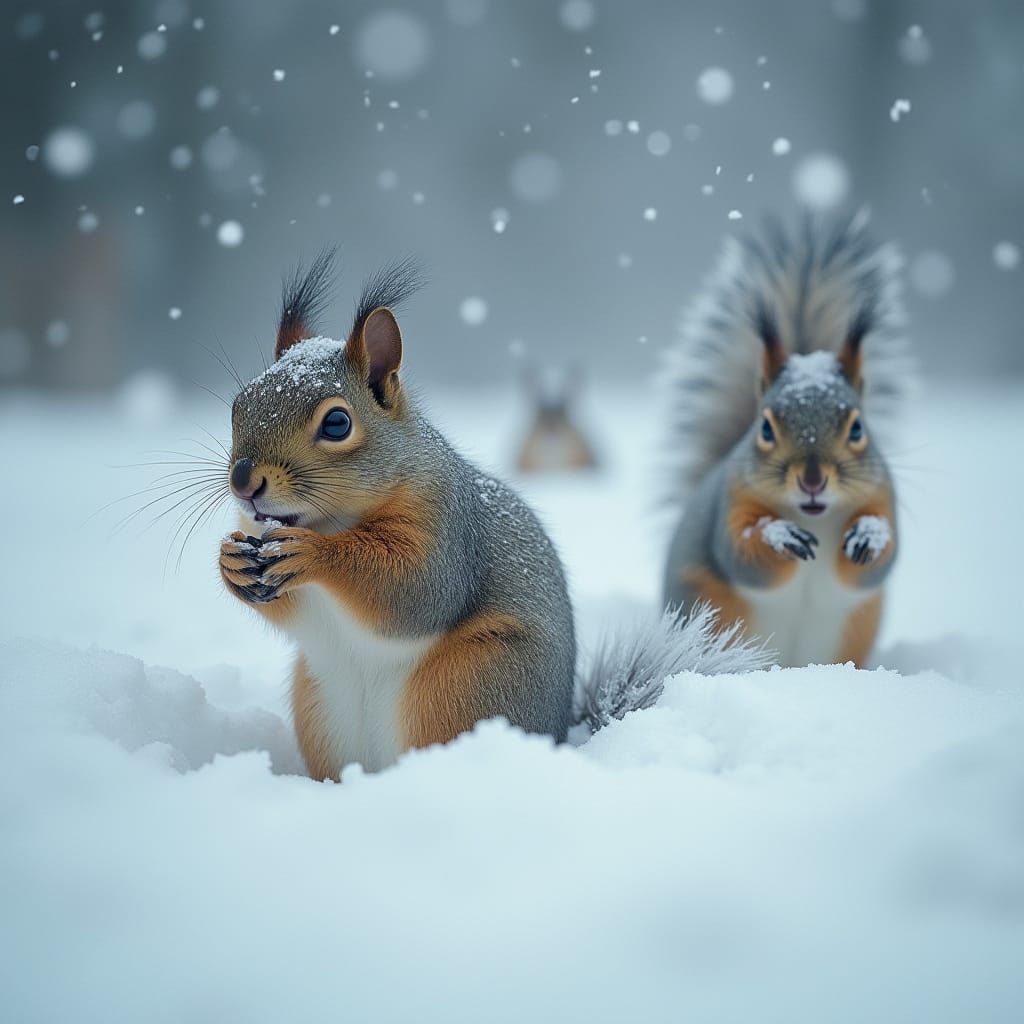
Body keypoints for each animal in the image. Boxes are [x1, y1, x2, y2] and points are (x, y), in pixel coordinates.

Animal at [218, 250, 768, 780]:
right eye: (238, 405)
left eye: (337, 423)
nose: (244, 481)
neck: (330, 520)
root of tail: (558, 736)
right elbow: (292, 609)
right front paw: (231, 562)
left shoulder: (447, 529)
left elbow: (414, 589)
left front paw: (314, 554)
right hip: (320, 705)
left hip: (468, 686)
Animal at [661, 215, 914, 668]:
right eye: (764, 428)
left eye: (857, 429)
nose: (812, 480)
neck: (813, 515)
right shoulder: (730, 501)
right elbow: (739, 553)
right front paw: (778, 536)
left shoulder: (883, 495)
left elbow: (882, 558)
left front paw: (869, 534)